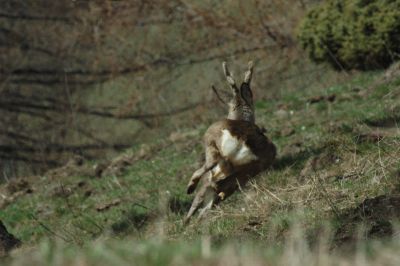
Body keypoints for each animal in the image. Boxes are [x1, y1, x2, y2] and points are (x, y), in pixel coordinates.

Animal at [185, 61, 276, 223]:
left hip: (210, 143)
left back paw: (190, 190)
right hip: (249, 170)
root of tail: (242, 138)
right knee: (215, 197)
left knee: (207, 169)